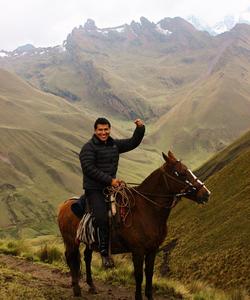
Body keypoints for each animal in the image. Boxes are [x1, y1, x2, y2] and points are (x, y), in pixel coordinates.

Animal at [58, 151, 211, 298]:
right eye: (181, 172)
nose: (206, 193)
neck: (146, 209)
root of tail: (65, 204)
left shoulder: (152, 250)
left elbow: (149, 274)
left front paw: (149, 296)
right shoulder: (138, 251)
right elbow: (139, 276)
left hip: (89, 241)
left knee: (87, 257)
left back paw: (91, 286)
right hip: (71, 241)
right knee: (71, 258)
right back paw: (76, 289)